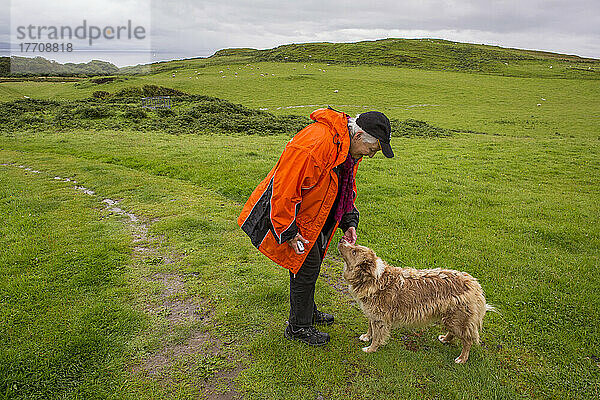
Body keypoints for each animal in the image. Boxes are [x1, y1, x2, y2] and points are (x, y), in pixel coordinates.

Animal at [340, 239, 494, 364]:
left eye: (354, 251)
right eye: (355, 246)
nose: (342, 240)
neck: (373, 279)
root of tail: (475, 285)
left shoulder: (380, 318)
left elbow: (377, 336)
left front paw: (371, 349)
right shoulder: (373, 315)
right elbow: (370, 327)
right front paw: (367, 337)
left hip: (459, 319)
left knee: (468, 340)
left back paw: (462, 358)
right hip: (451, 318)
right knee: (454, 333)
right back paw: (445, 339)